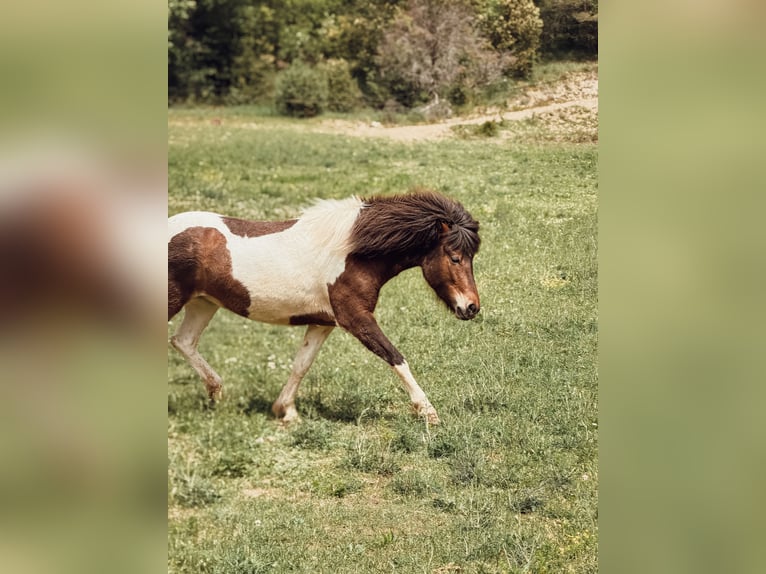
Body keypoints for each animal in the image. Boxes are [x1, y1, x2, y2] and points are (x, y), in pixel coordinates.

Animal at [168, 190, 480, 425]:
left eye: (471, 257)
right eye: (455, 257)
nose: (472, 307)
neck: (352, 252)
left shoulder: (321, 323)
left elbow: (301, 365)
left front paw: (286, 411)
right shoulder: (356, 319)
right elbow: (396, 357)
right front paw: (428, 412)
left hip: (204, 304)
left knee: (183, 342)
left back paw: (217, 393)